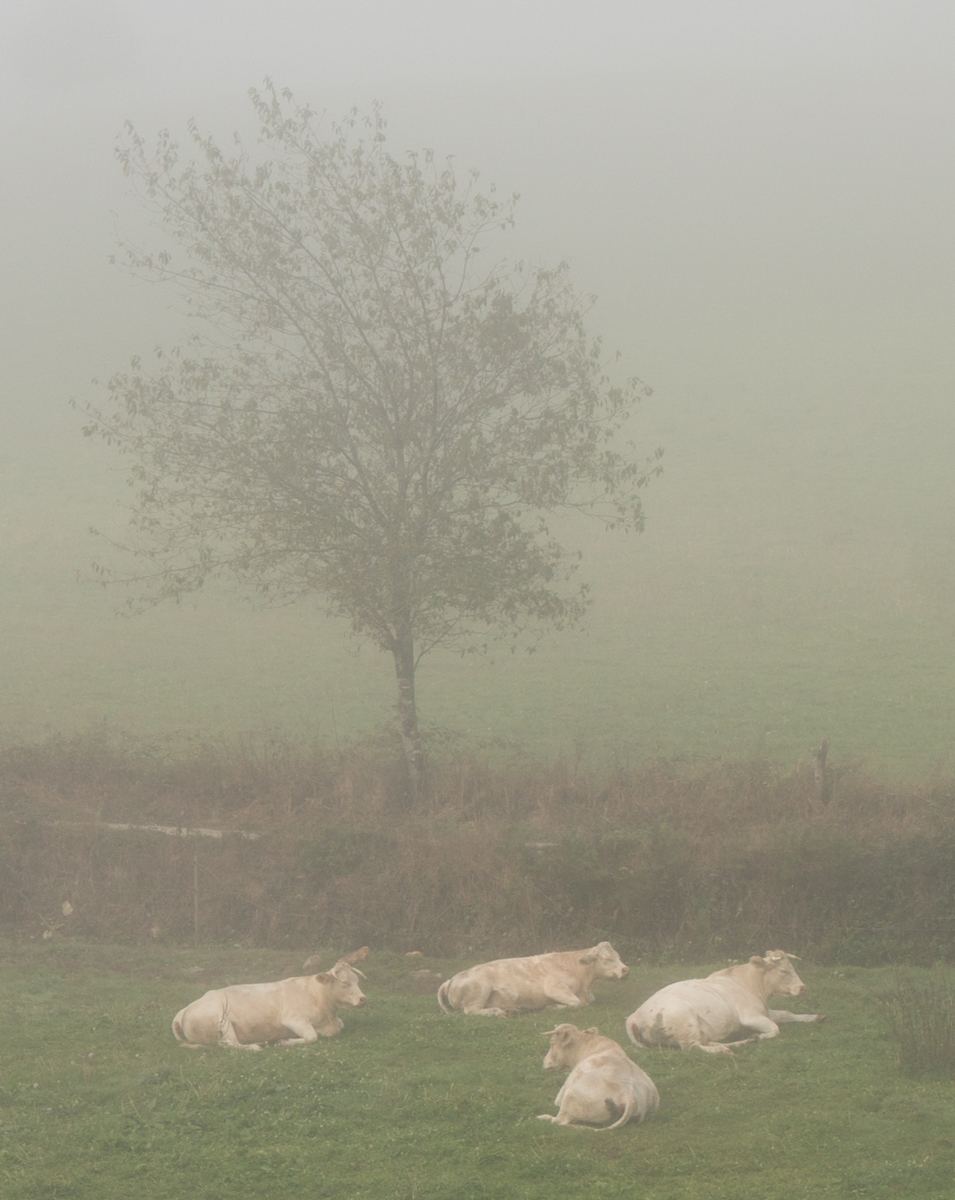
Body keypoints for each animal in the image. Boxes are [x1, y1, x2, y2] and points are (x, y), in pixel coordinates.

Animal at [171, 945, 369, 1051]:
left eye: (356, 979)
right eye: (344, 983)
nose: (363, 999)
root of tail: (183, 1011)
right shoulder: (293, 1020)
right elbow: (312, 1036)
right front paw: (283, 1041)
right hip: (223, 1021)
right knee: (229, 1044)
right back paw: (255, 1046)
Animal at [434, 940, 628, 1017]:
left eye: (618, 956)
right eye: (607, 959)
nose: (625, 970)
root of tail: (451, 979)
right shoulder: (553, 987)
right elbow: (575, 1003)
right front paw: (552, 1007)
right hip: (479, 989)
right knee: (471, 1011)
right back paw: (498, 1012)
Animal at [532, 1027, 662, 1128]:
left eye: (552, 1044)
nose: (544, 1061)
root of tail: (629, 1095)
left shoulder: (563, 1091)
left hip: (570, 1098)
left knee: (559, 1121)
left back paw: (543, 1117)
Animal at [628, 950, 820, 1056]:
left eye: (792, 968)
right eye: (783, 971)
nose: (802, 987)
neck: (749, 984)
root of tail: (634, 1016)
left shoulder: (764, 1011)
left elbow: (787, 1014)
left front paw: (815, 1017)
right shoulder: (750, 1016)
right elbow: (775, 1028)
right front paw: (760, 1036)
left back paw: (741, 1042)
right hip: (686, 1023)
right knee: (694, 1047)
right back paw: (728, 1048)